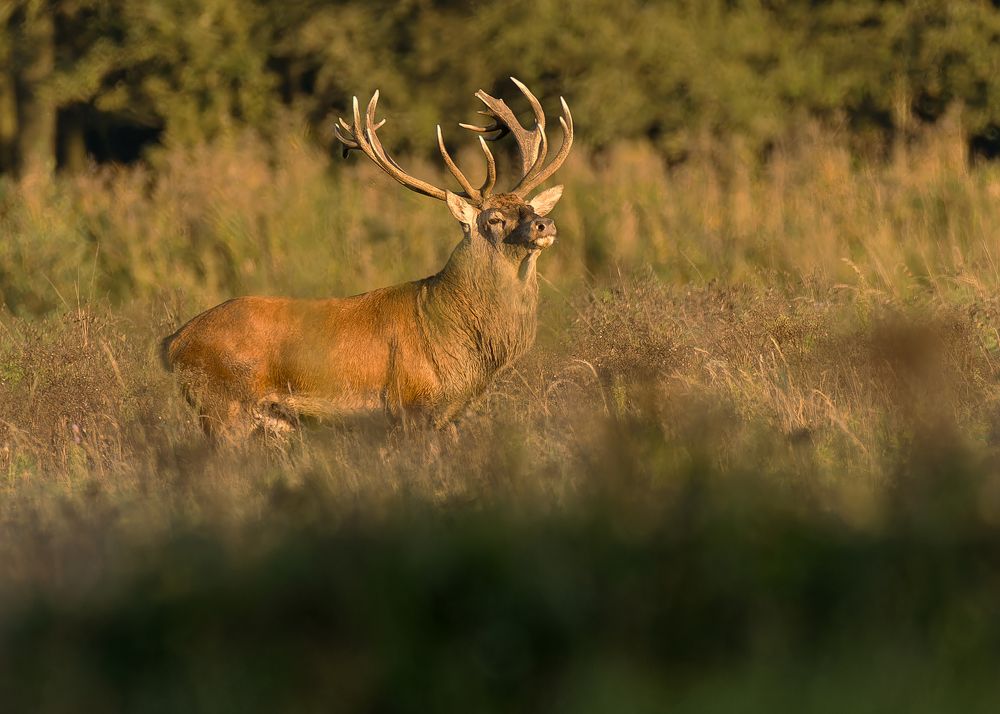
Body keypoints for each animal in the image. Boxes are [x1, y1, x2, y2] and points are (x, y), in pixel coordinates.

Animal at [161, 78, 573, 440]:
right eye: (494, 219)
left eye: (529, 207)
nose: (545, 223)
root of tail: (173, 343)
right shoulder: (411, 403)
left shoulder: (448, 415)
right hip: (221, 407)